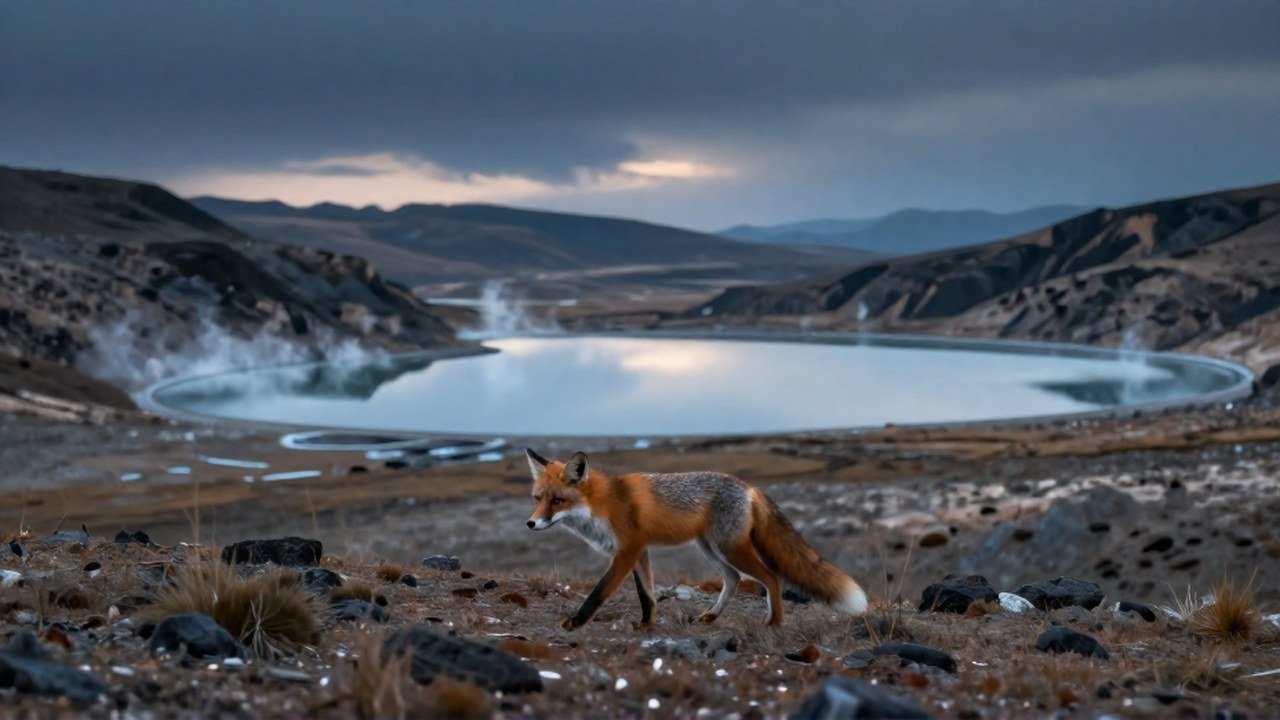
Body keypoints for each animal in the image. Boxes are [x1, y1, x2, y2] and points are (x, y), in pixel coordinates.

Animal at [524, 448, 868, 629]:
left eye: (557, 501)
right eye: (538, 498)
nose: (530, 523)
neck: (602, 505)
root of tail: (749, 486)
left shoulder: (626, 551)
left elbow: (599, 592)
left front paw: (576, 622)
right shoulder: (639, 551)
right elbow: (647, 595)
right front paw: (647, 625)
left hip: (730, 548)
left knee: (770, 577)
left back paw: (774, 621)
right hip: (710, 548)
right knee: (733, 579)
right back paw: (712, 615)